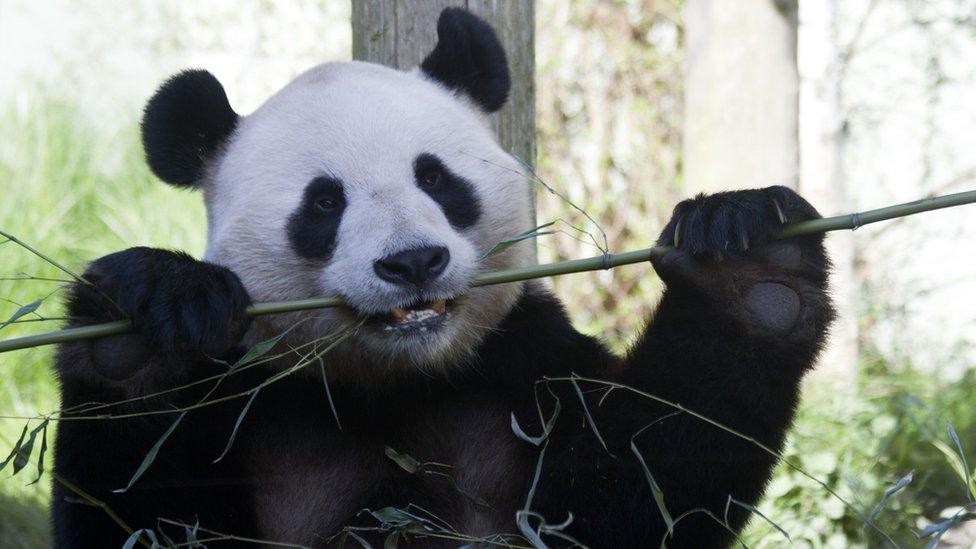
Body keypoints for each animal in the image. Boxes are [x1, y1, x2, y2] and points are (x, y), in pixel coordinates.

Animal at [51, 6, 832, 544]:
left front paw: (749, 263)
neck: (401, 378)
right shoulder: (253, 397)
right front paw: (143, 325)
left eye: (435, 177)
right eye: (324, 202)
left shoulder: (520, 369)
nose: (413, 262)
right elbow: (142, 514)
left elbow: (637, 495)